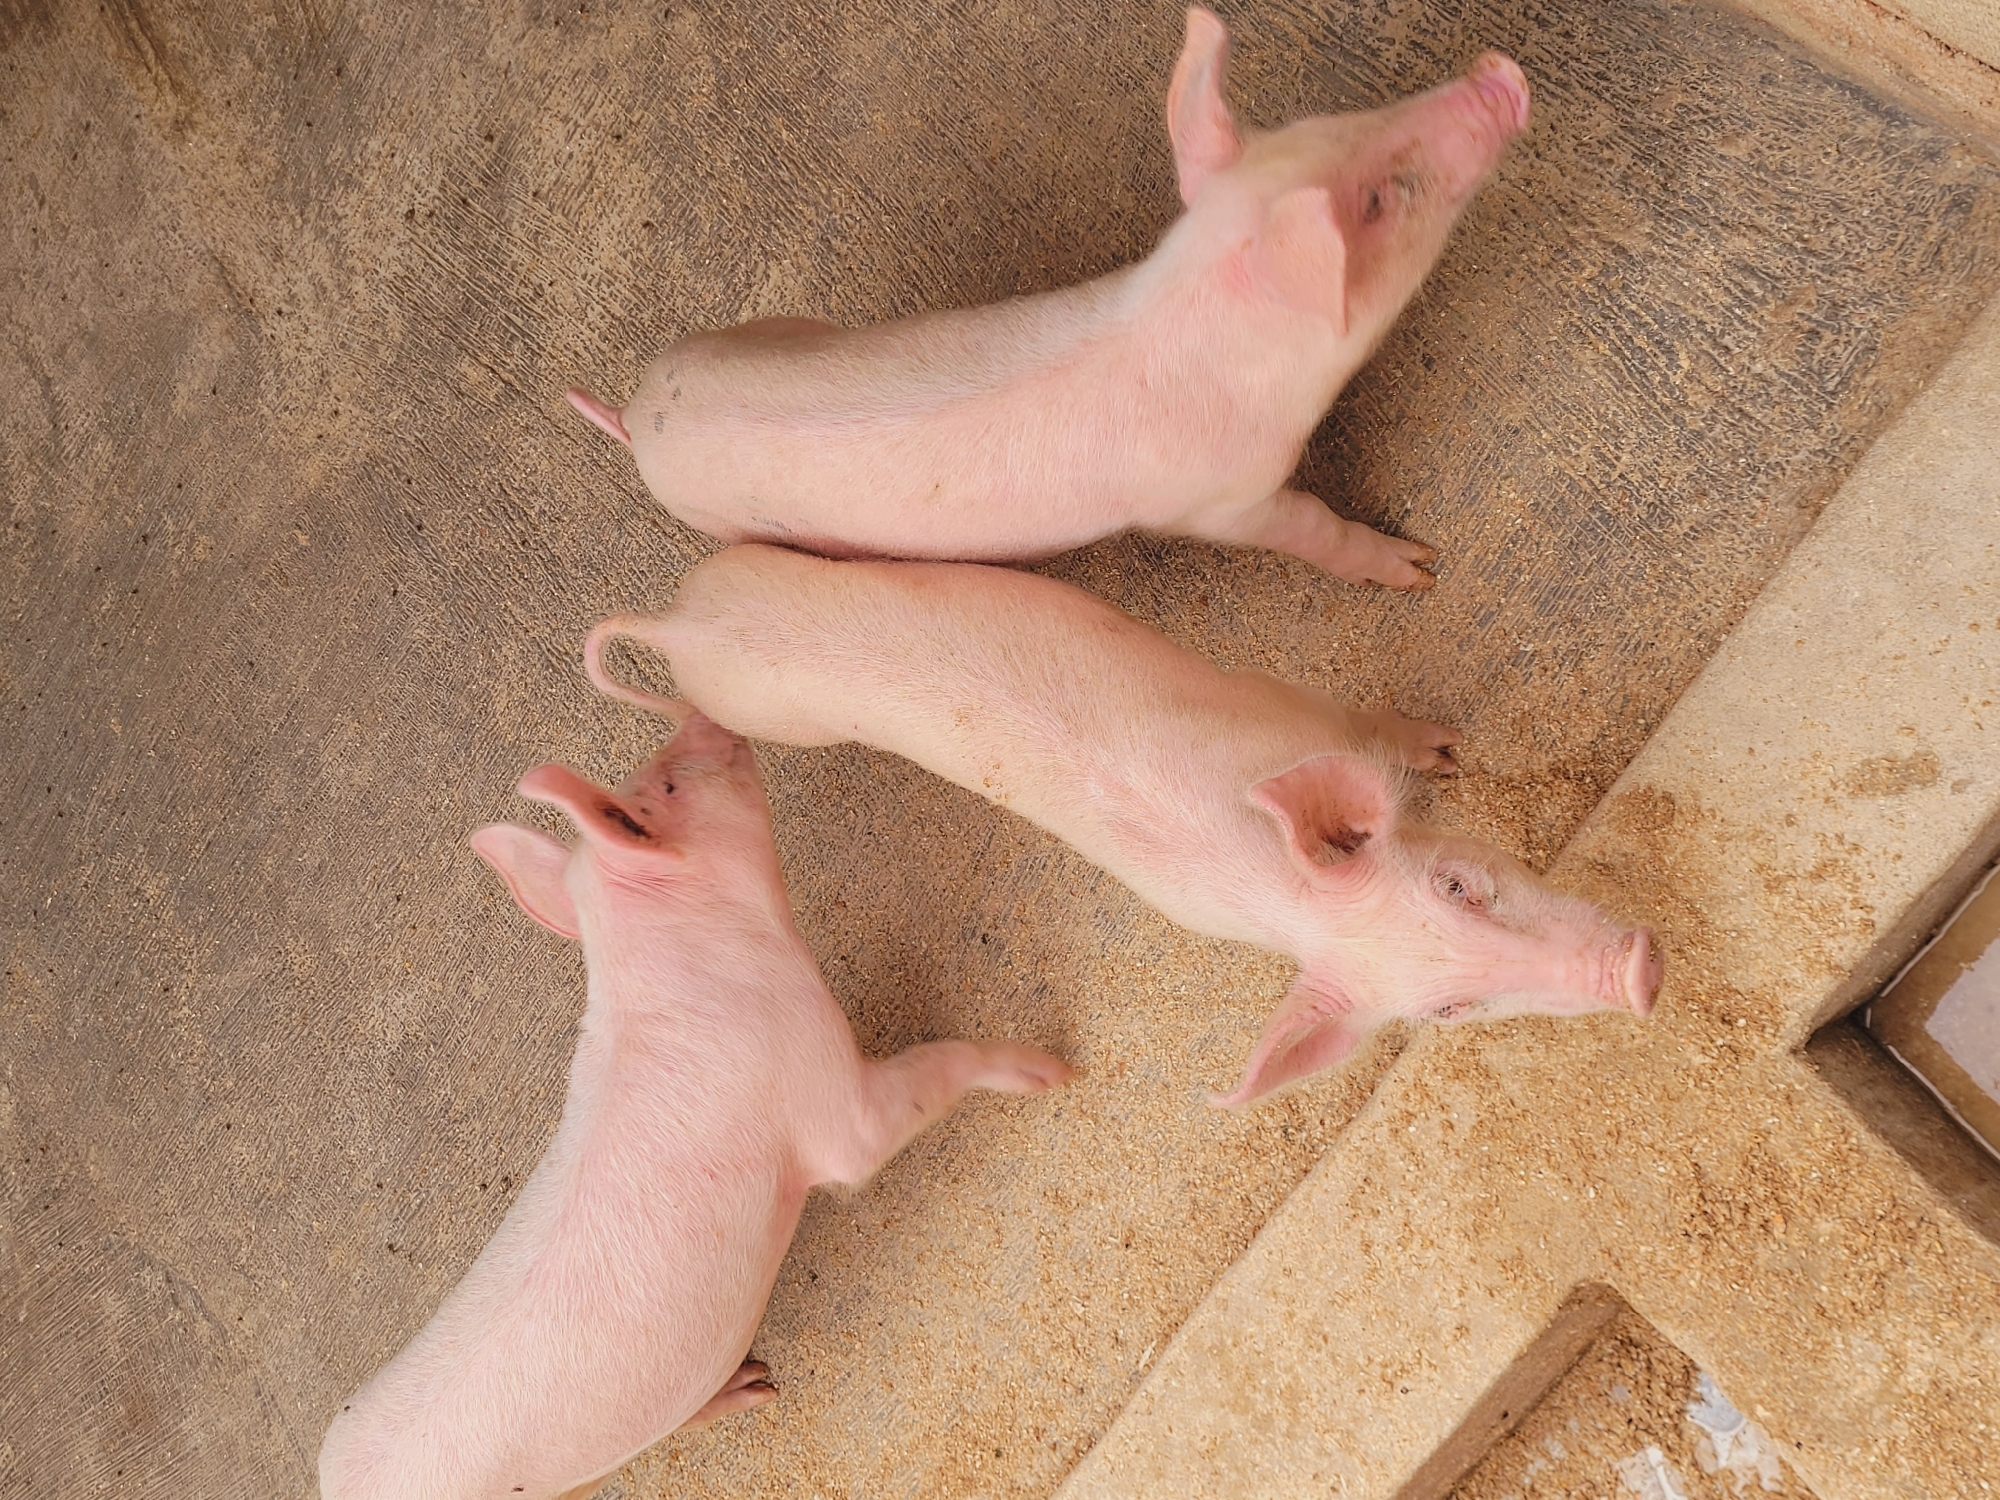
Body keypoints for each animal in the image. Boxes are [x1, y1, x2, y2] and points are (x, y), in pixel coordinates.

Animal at [317, 717, 1073, 1500]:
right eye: (671, 786)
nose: (702, 720)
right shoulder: (821, 1095)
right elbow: (906, 1095)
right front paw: (1053, 1072)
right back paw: (758, 1387)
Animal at [565, 7, 1530, 589]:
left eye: (1323, 127)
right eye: (1381, 200)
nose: (1500, 71)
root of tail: (636, 416)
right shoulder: (1225, 502)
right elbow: (1313, 526)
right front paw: (1418, 567)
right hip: (728, 521)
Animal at [583, 547, 1660, 1107]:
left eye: (1459, 884)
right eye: (1445, 1013)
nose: (1639, 972)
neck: (1269, 883)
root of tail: (677, 628)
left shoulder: (1275, 705)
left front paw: (1443, 750)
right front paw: (1442, 750)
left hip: (746, 573)